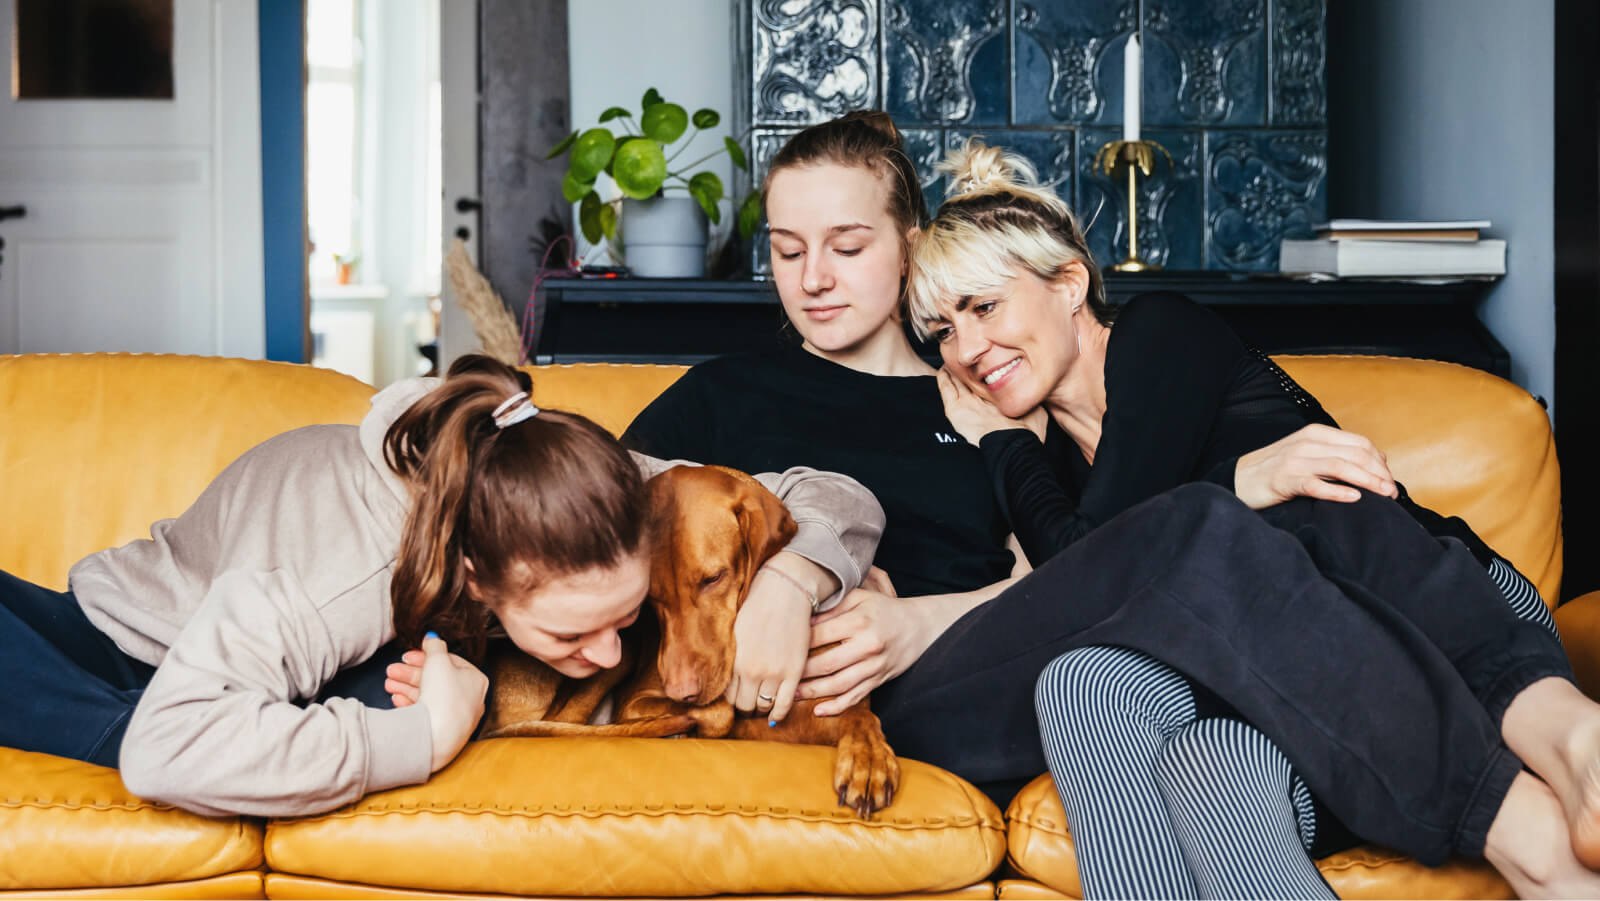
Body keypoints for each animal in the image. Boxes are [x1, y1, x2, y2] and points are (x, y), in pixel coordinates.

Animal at [473, 460, 902, 819]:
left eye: (713, 578)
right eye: (650, 598)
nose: (681, 691)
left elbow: (860, 714)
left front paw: (868, 759)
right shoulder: (635, 702)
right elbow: (721, 713)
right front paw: (696, 721)